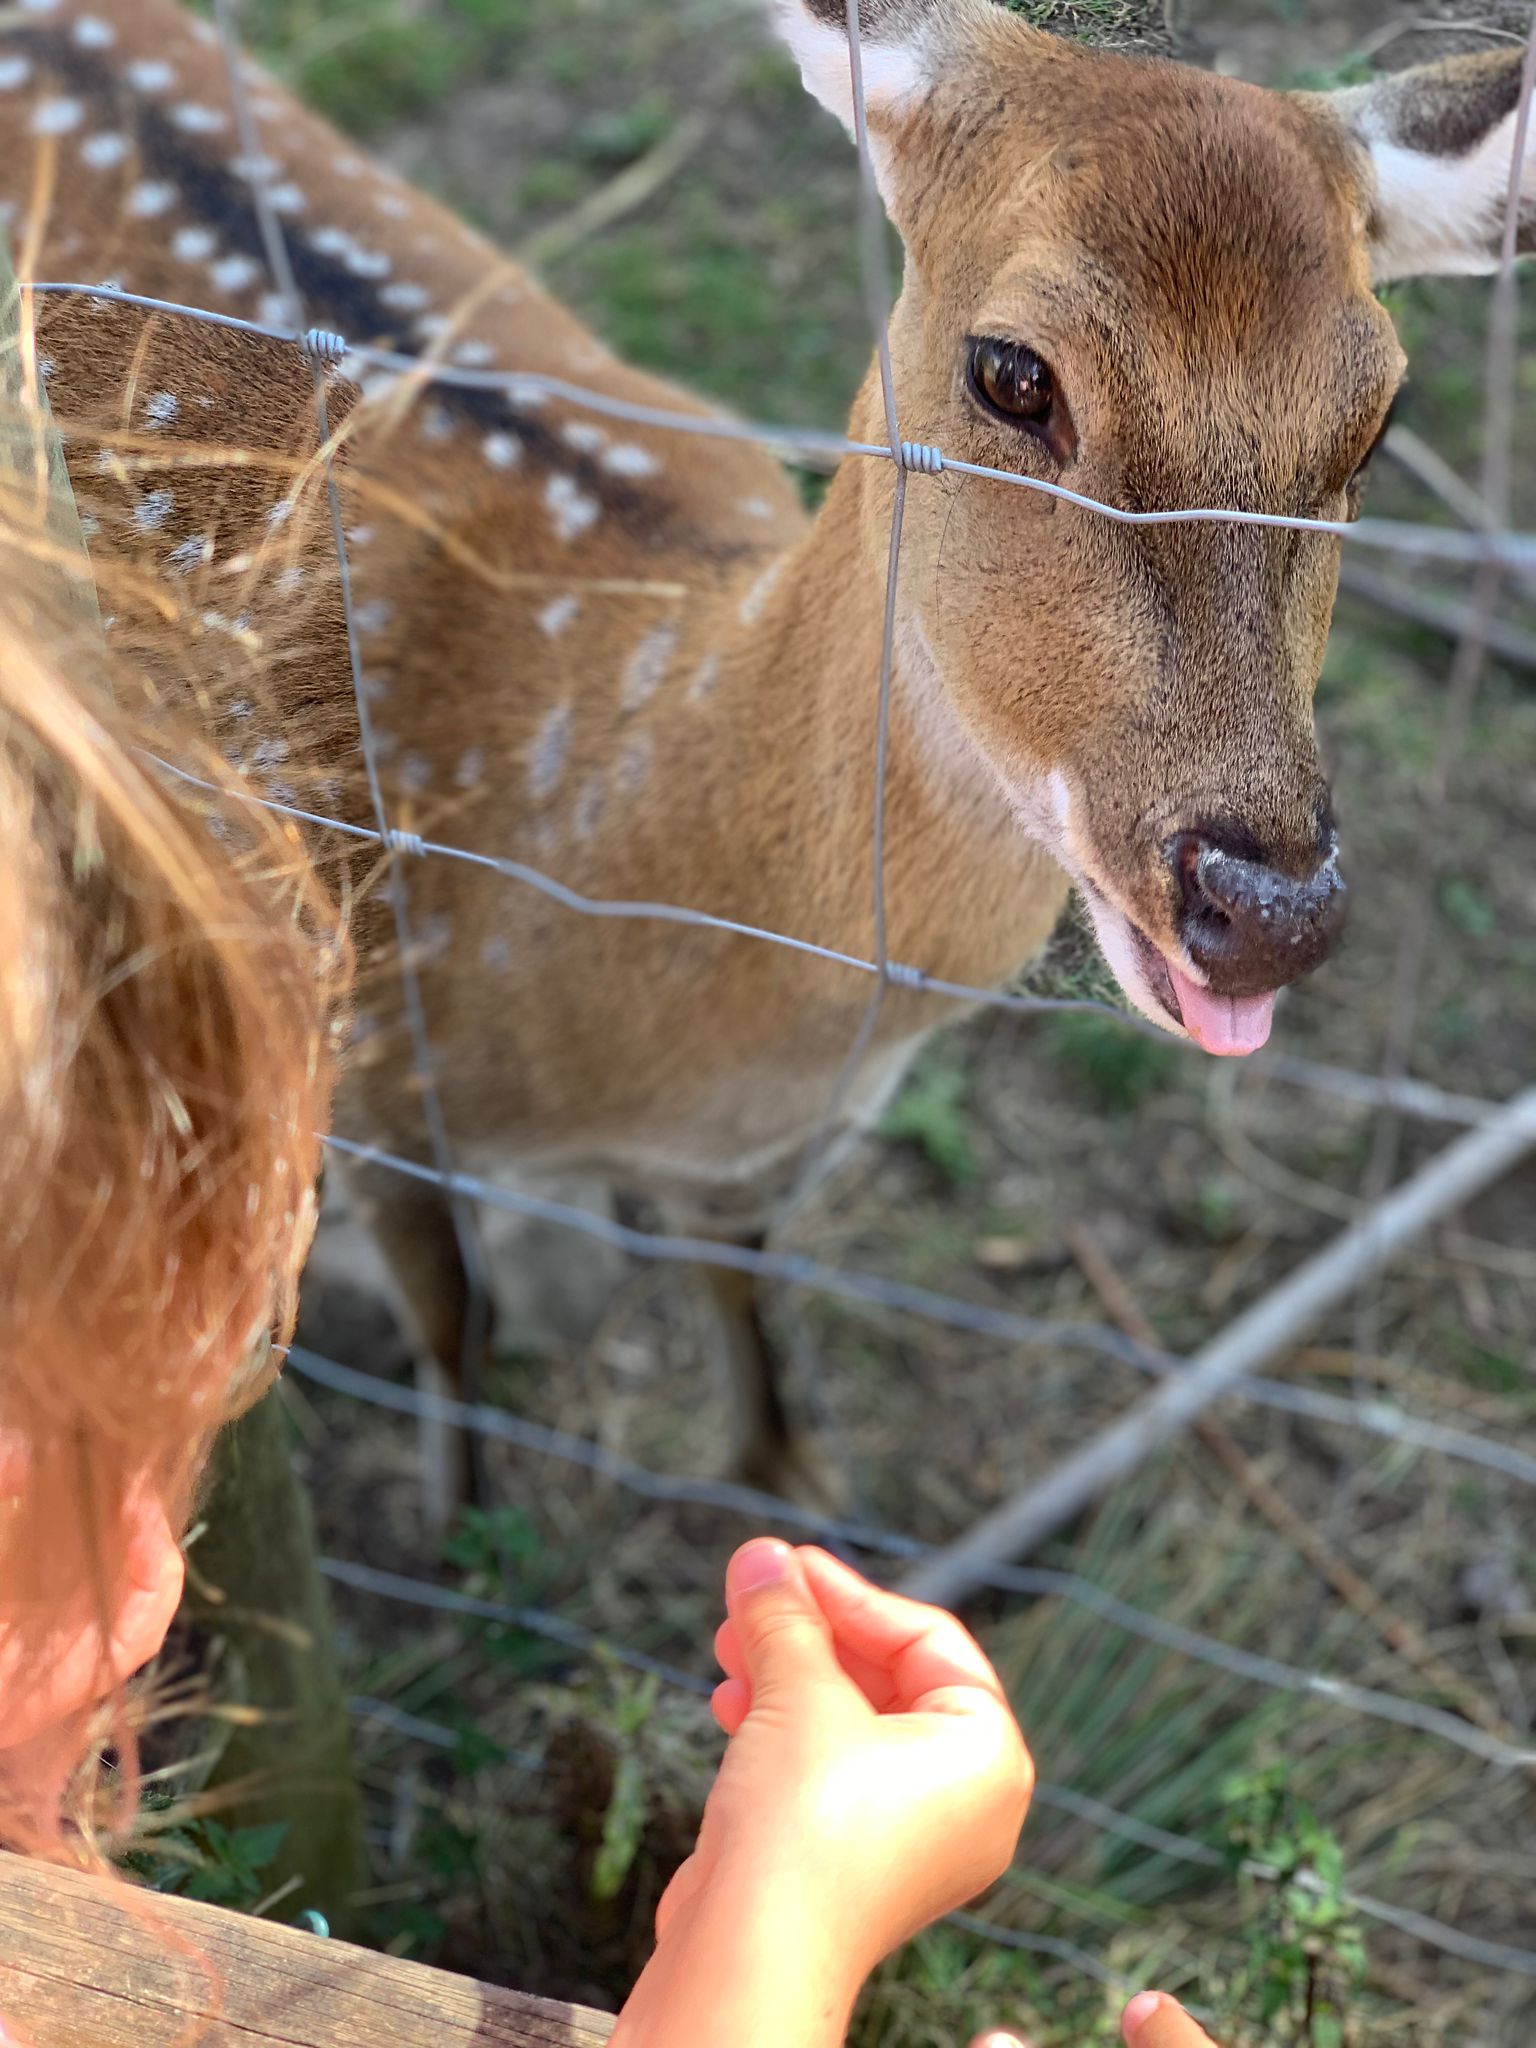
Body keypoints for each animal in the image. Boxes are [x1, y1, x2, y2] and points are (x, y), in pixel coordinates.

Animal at [4, 0, 1532, 1526]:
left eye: (1381, 420)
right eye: (1012, 372)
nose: (1267, 905)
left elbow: (738, 1285)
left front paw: (785, 1475)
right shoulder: (364, 1066)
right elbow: (456, 1322)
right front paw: (461, 1514)